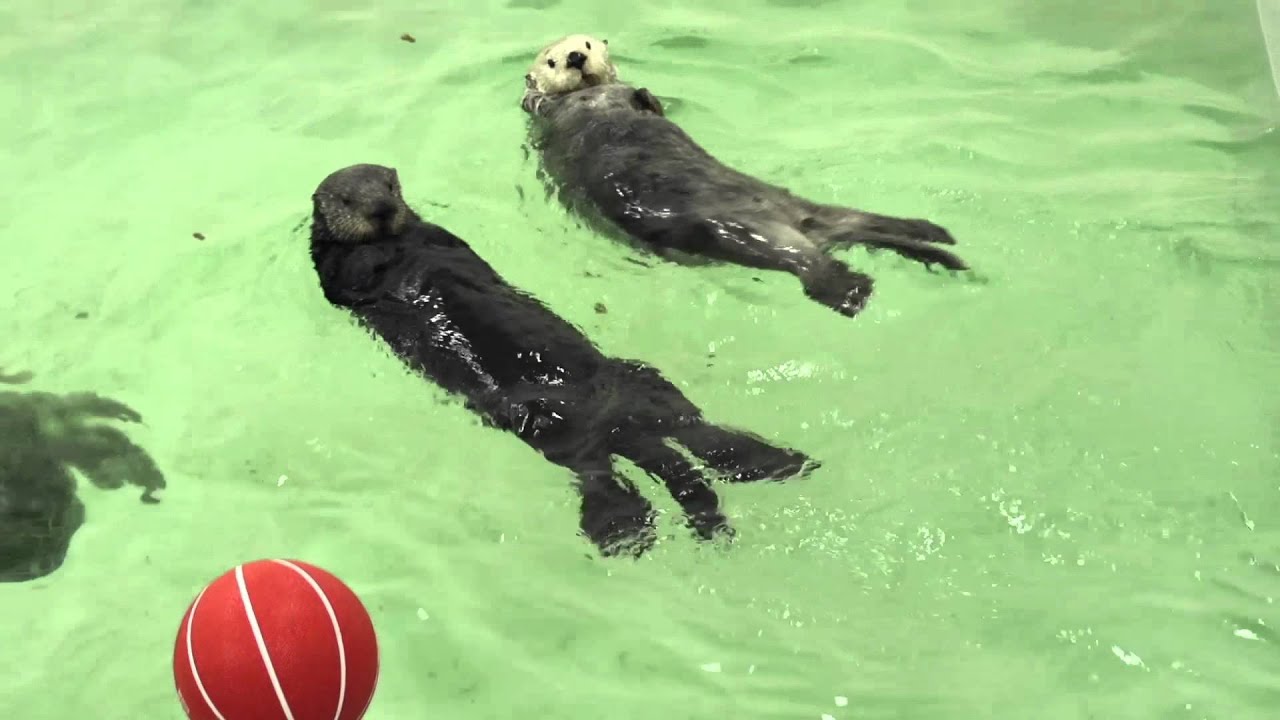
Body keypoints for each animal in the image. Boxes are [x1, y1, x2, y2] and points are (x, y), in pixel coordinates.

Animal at [308, 163, 816, 557]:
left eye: (390, 186)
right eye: (349, 199)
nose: (381, 210)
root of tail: (616, 424)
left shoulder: (435, 239)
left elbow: (437, 243)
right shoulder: (337, 276)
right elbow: (356, 272)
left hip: (642, 385)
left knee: (693, 433)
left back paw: (770, 462)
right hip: (554, 429)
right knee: (604, 471)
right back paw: (627, 528)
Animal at [520, 34, 970, 318]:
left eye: (586, 44)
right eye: (551, 60)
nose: (576, 59)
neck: (589, 96)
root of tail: (801, 223)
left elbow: (647, 102)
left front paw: (646, 97)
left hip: (803, 210)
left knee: (859, 222)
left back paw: (932, 233)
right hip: (741, 231)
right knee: (806, 259)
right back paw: (852, 289)